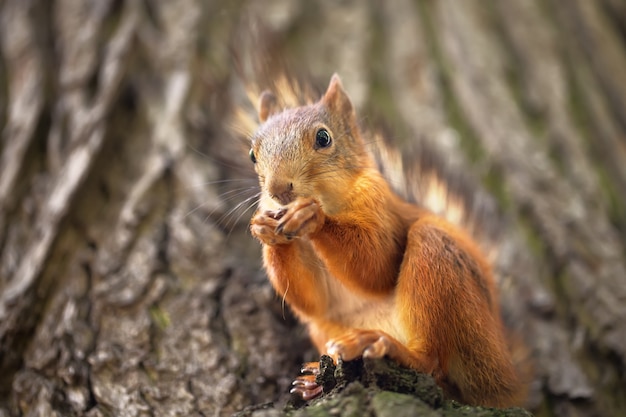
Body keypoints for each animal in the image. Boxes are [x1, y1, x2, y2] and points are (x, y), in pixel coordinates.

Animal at [246, 75, 524, 406]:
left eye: (324, 138)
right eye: (252, 154)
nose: (278, 190)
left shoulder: (381, 208)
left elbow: (375, 266)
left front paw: (313, 217)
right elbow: (311, 298)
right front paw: (264, 230)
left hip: (441, 270)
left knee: (432, 363)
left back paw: (388, 346)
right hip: (324, 328)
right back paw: (315, 381)